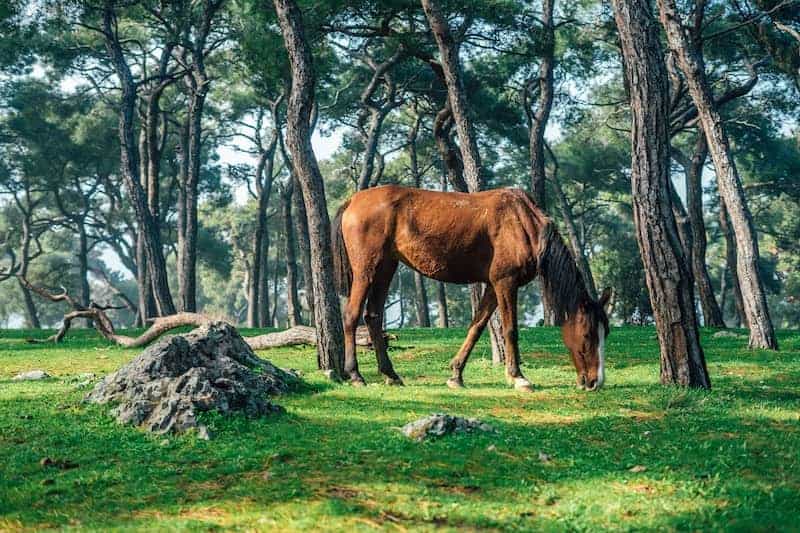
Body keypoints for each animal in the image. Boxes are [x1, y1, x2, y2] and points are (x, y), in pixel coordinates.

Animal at [332, 185, 611, 392]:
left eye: (605, 332)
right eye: (588, 334)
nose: (595, 382)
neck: (523, 223)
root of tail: (353, 200)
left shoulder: (492, 286)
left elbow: (476, 327)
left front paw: (456, 374)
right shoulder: (505, 283)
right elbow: (510, 330)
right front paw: (517, 377)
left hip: (386, 268)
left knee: (373, 316)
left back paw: (391, 374)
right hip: (367, 270)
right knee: (352, 316)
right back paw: (355, 374)